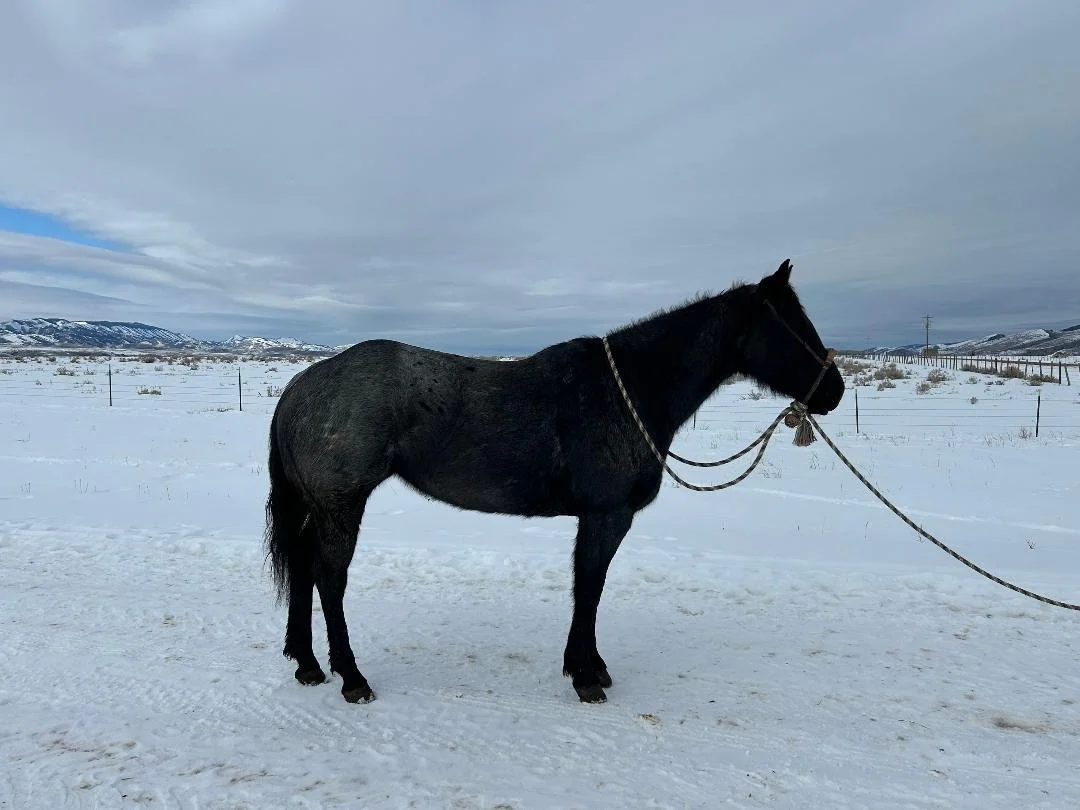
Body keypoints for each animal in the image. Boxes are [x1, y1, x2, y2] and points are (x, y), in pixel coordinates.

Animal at [265, 259, 844, 704]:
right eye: (793, 325)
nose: (834, 392)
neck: (627, 392)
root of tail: (301, 384)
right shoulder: (606, 515)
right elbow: (588, 588)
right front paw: (586, 677)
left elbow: (589, 589)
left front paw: (589, 666)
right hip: (343, 504)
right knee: (329, 579)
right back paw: (351, 678)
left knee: (303, 568)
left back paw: (308, 665)